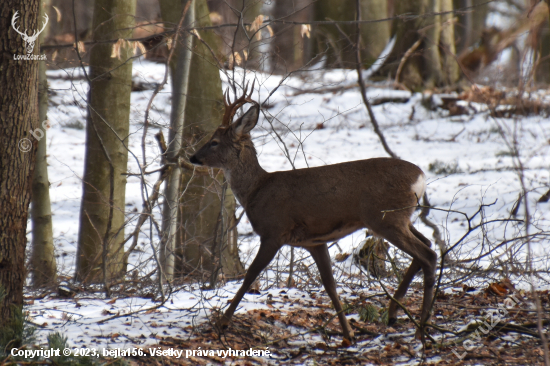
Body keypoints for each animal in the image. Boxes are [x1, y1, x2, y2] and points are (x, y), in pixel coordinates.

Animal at [192, 84, 438, 344]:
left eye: (214, 142)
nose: (192, 157)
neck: (256, 190)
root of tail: (420, 177)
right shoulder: (314, 241)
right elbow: (329, 285)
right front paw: (348, 334)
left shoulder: (274, 232)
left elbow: (250, 275)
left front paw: (222, 322)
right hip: (401, 218)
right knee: (427, 245)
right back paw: (393, 315)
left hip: (385, 218)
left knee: (428, 255)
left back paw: (421, 328)